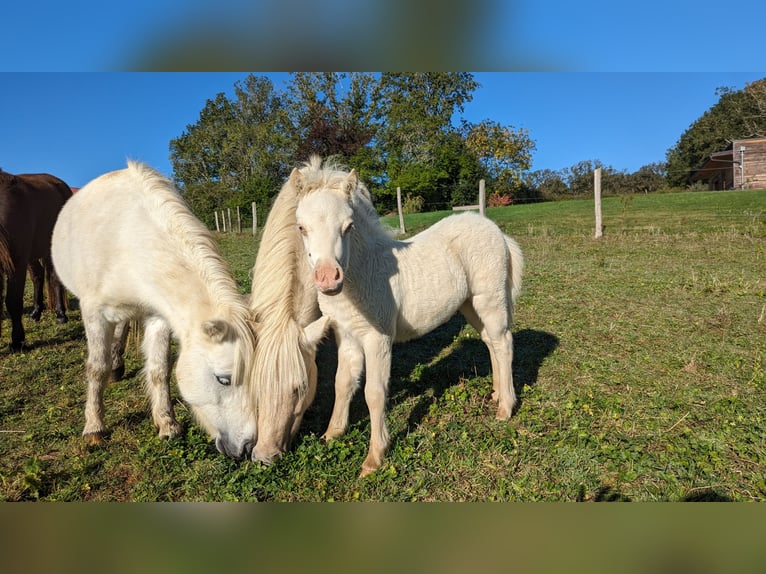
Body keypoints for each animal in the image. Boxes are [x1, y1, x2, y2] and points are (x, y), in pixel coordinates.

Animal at [0, 169, 73, 354]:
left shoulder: (17, 262)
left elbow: (13, 302)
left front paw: (17, 341)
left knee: (54, 277)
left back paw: (60, 314)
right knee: (38, 276)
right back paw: (36, 312)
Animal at [50, 161, 258, 460]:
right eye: (224, 380)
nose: (246, 447)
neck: (126, 239)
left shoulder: (157, 317)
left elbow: (159, 370)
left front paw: (167, 425)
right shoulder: (94, 314)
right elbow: (96, 369)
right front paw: (94, 428)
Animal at [296, 158, 528, 476]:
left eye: (348, 226)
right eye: (301, 227)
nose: (328, 278)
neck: (362, 275)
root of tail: (498, 232)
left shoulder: (377, 337)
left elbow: (374, 393)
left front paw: (375, 457)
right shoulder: (346, 335)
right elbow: (342, 382)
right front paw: (332, 433)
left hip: (489, 298)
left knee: (503, 341)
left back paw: (505, 407)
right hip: (469, 304)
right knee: (490, 341)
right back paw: (496, 393)